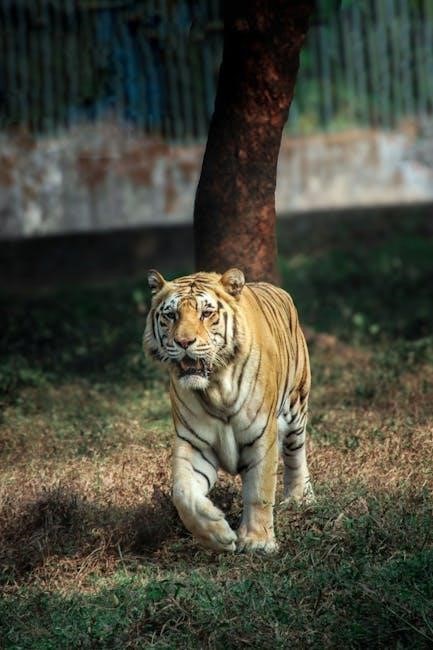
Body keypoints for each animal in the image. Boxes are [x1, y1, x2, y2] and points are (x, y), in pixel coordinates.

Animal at [143, 267, 313, 553]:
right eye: (171, 315)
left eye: (206, 313)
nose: (184, 341)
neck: (215, 389)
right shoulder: (194, 443)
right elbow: (183, 493)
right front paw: (217, 533)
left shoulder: (261, 435)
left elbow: (259, 490)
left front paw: (257, 542)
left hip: (296, 406)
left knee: (296, 453)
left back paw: (300, 498)